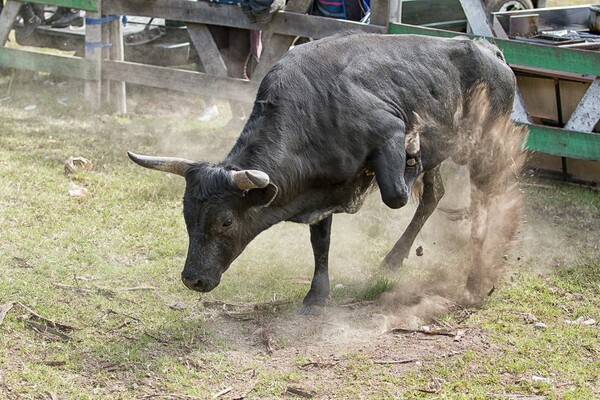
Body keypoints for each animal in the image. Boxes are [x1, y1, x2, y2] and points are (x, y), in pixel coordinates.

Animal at [129, 33, 524, 316]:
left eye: (225, 221)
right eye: (187, 216)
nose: (193, 279)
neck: (316, 109)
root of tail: (490, 50)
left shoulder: (389, 134)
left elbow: (395, 194)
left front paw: (412, 152)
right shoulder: (321, 189)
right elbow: (321, 243)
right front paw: (316, 296)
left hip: (485, 145)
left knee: (483, 200)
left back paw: (476, 277)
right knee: (433, 195)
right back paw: (394, 260)